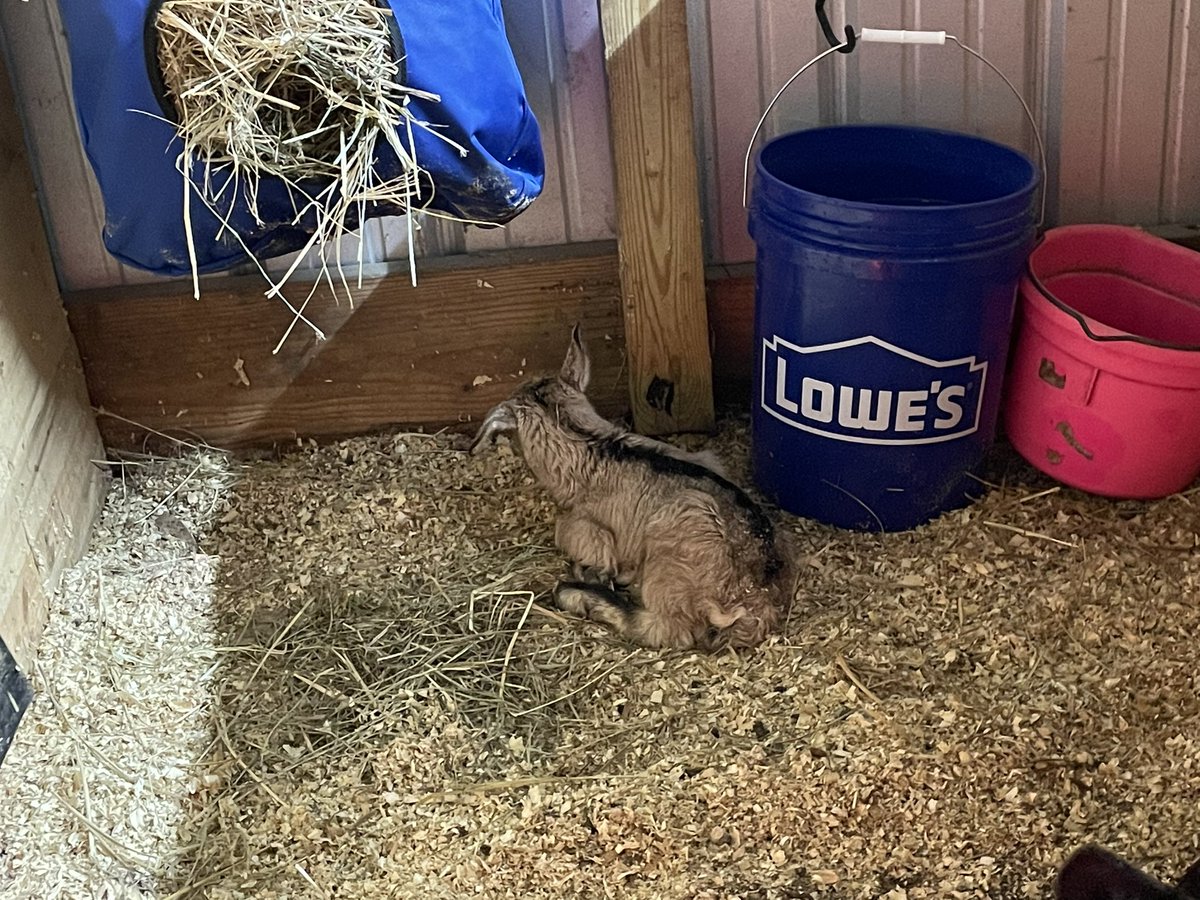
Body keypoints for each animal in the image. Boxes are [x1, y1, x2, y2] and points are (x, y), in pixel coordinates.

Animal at [469, 325, 795, 650]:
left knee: (664, 628)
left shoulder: (583, 530)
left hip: (675, 539)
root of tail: (756, 605)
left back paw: (578, 593)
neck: (593, 449)